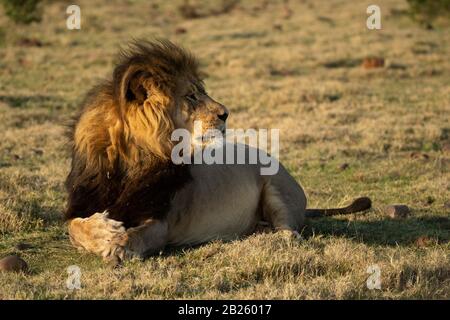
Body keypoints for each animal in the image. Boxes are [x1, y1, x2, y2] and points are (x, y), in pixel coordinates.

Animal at [65, 39, 370, 264]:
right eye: (191, 96)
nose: (226, 113)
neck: (129, 161)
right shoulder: (83, 203)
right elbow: (74, 226)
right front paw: (104, 230)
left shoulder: (160, 221)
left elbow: (135, 236)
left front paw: (117, 245)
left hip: (276, 188)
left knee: (291, 232)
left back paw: (269, 237)